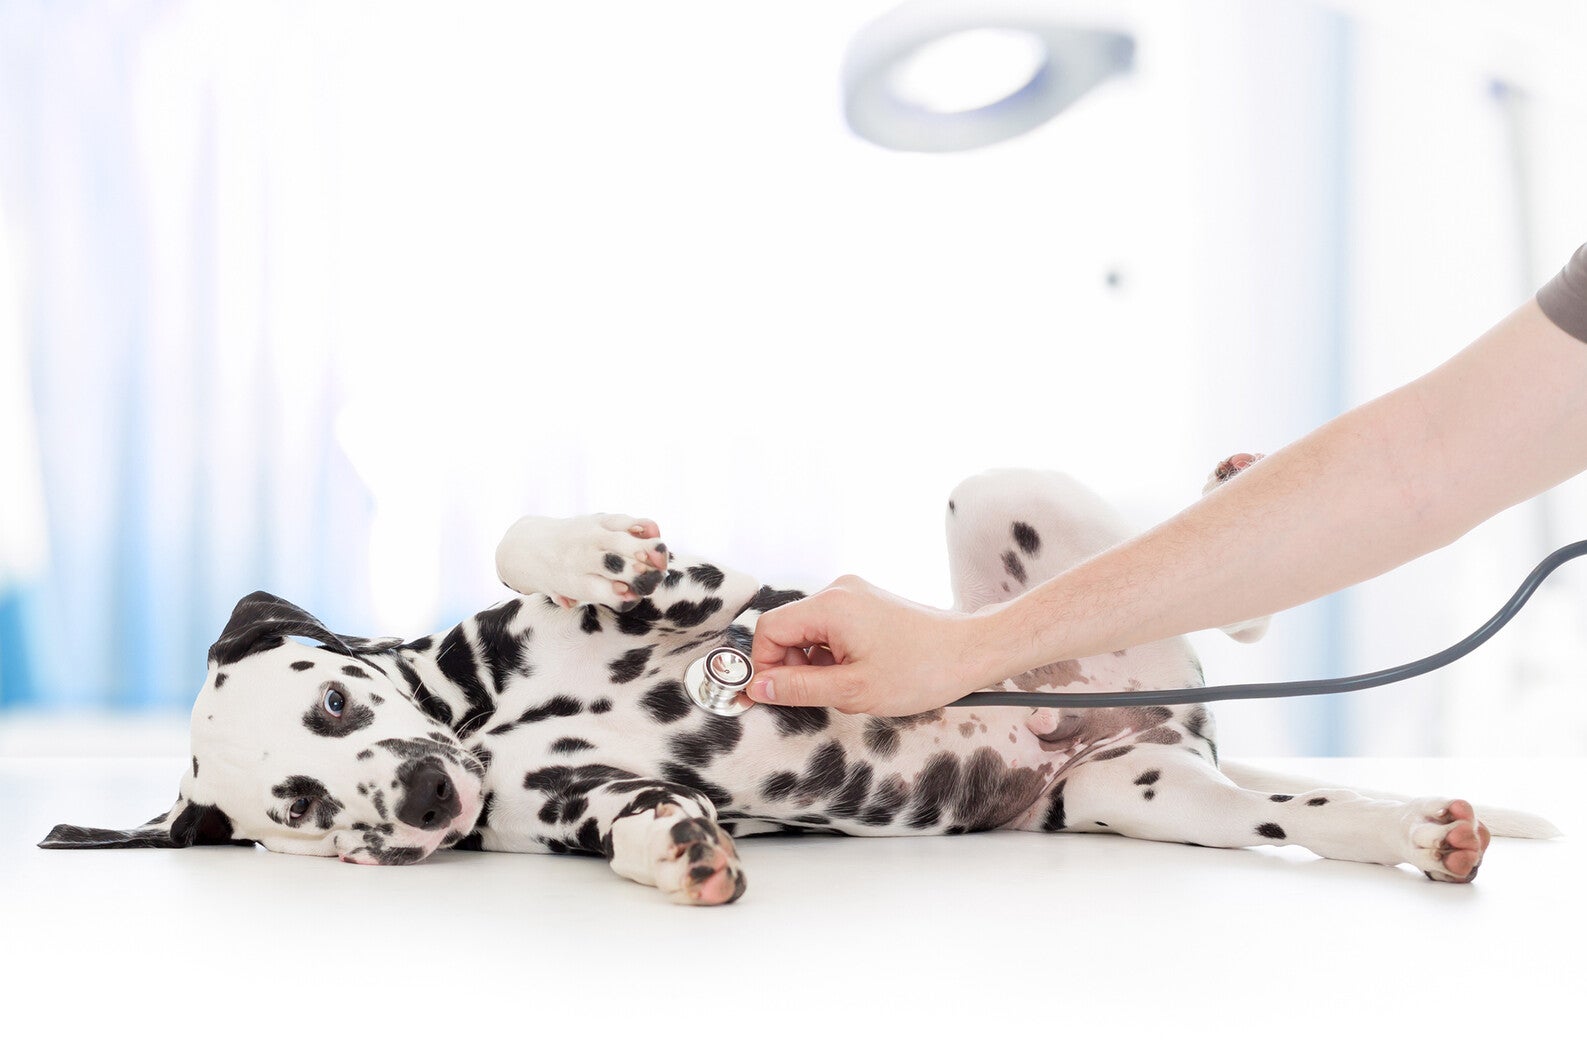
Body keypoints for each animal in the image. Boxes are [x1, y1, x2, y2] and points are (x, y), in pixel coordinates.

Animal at [43, 459, 1555, 907]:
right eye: (303, 811)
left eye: (339, 705)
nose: (417, 799)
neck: (487, 719)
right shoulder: (581, 800)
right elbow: (643, 818)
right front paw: (677, 852)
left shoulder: (713, 596)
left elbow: (541, 544)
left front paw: (583, 550)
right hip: (1155, 793)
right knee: (1305, 809)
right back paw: (1419, 830)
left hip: (1006, 496)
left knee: (1216, 575)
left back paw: (1230, 489)